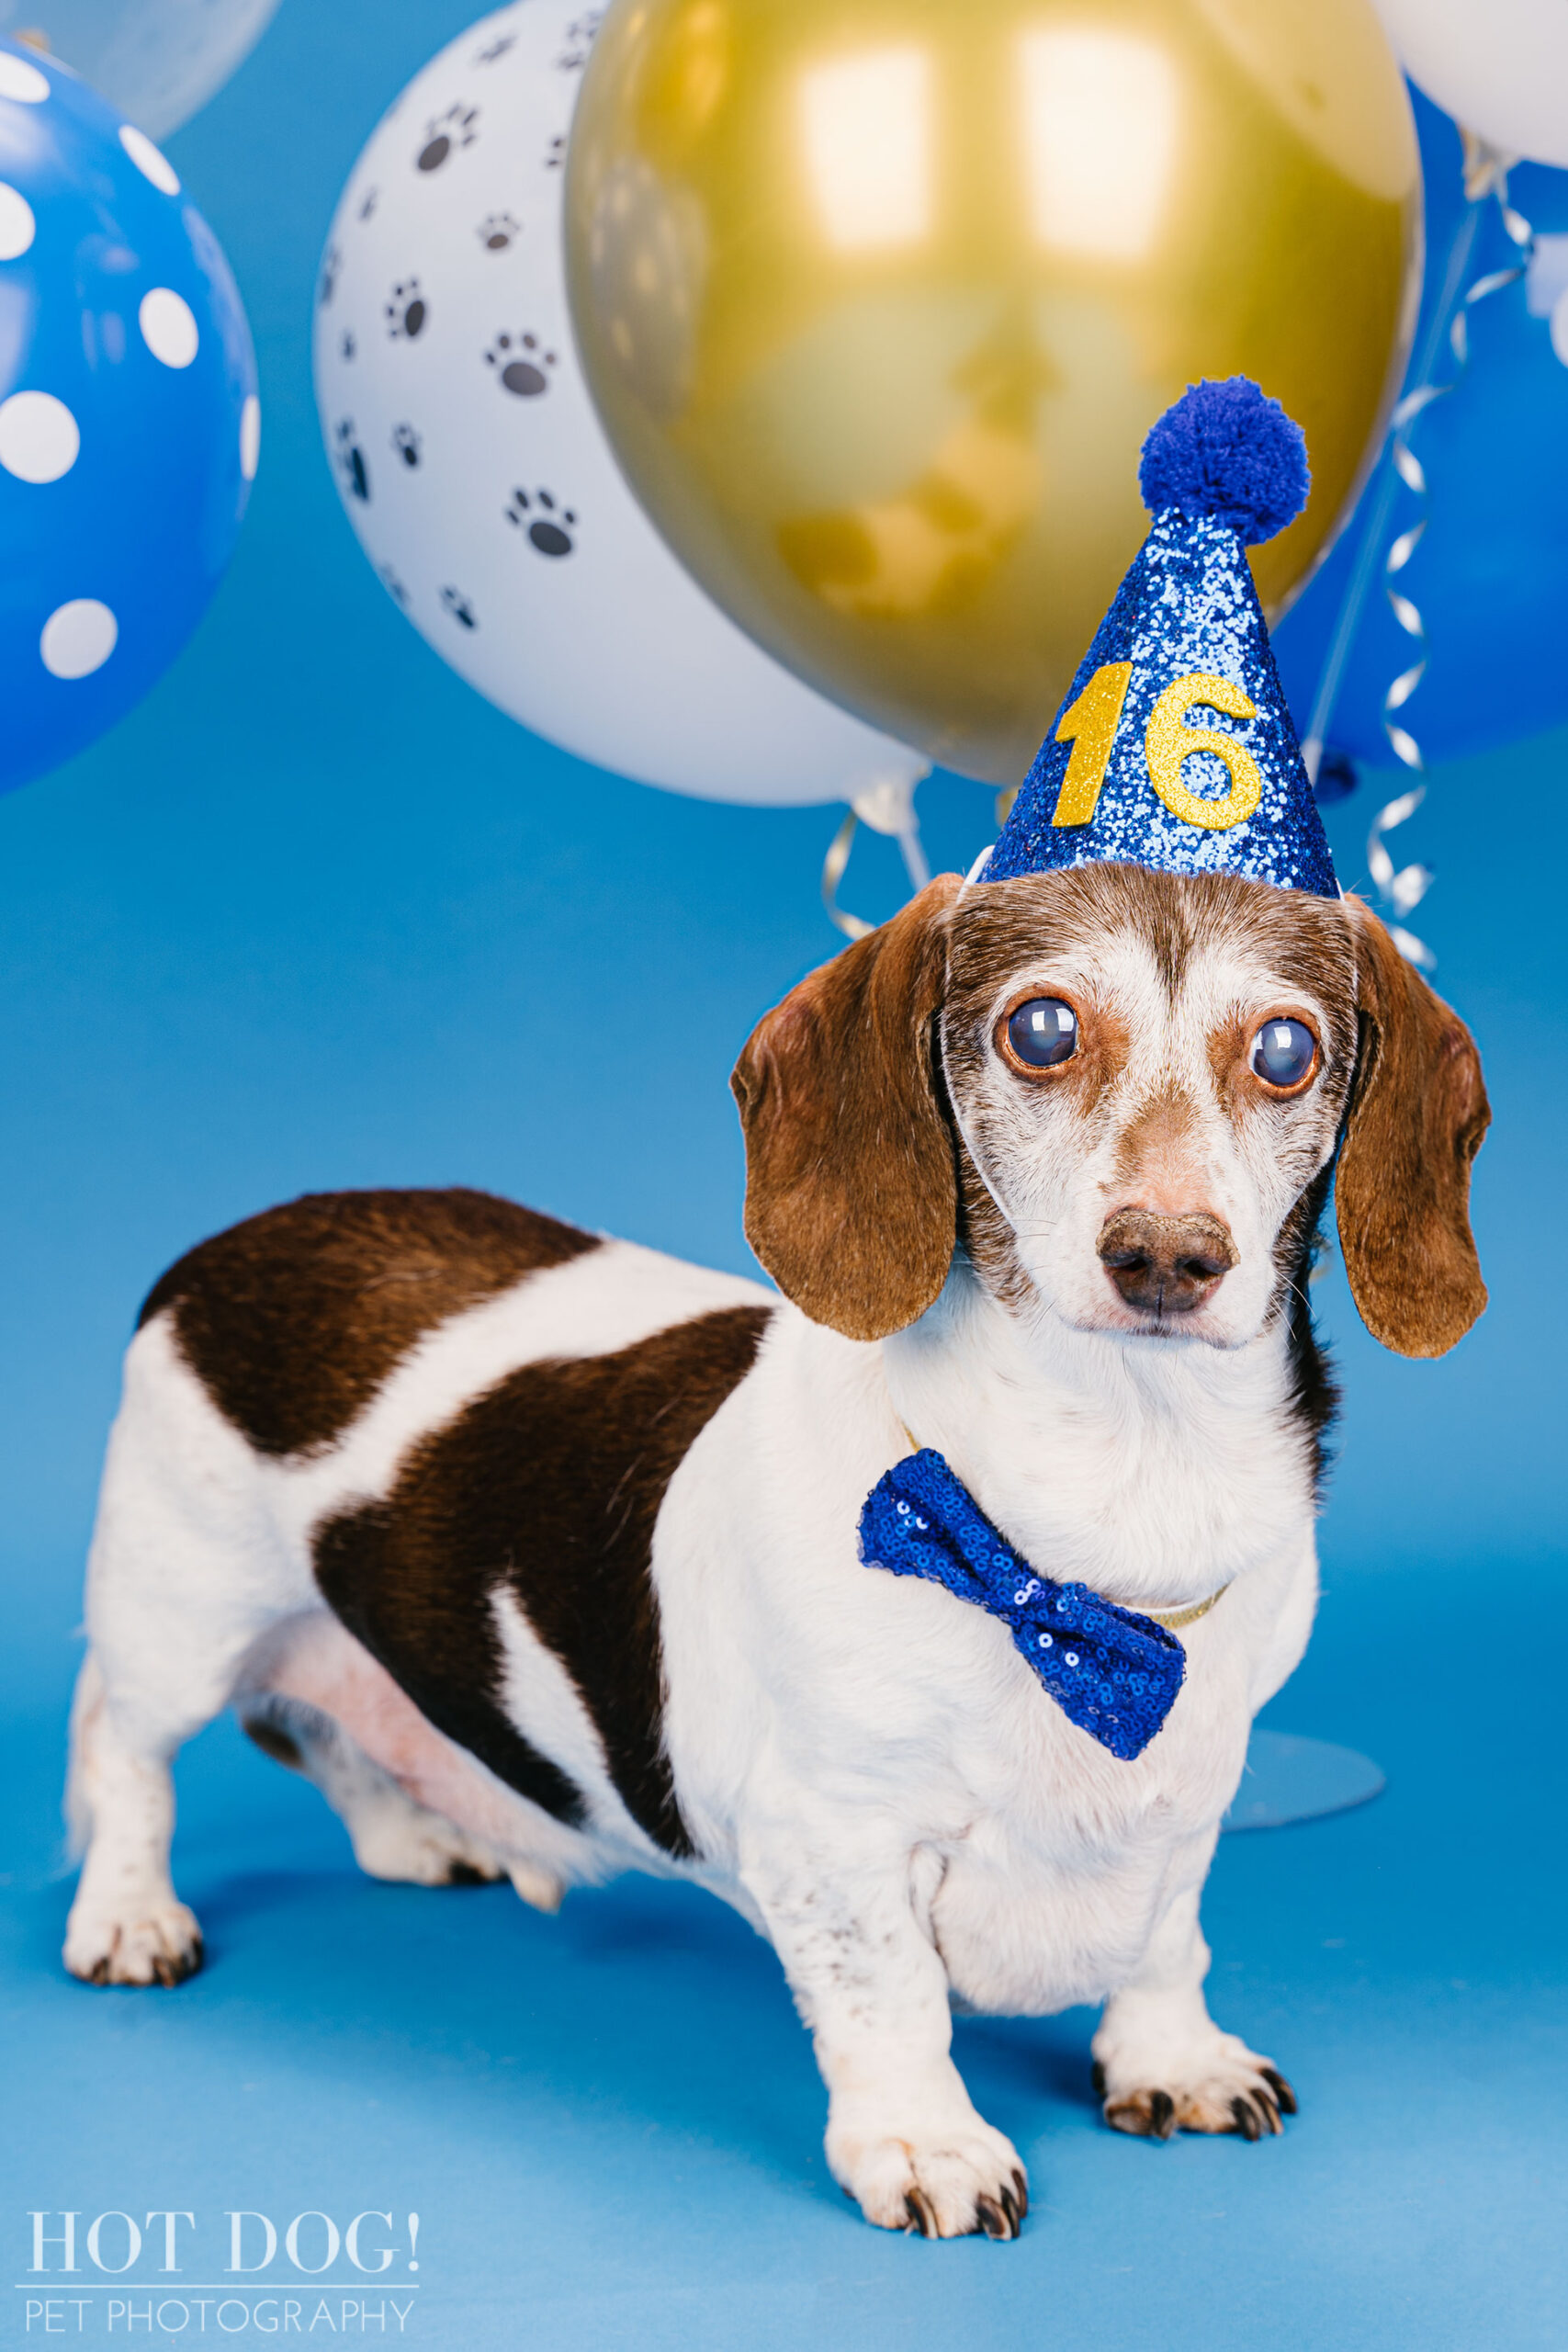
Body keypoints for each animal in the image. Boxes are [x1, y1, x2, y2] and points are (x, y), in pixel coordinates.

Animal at [64, 865, 1485, 2239]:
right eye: (1040, 1030)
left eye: (1287, 1050)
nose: (1167, 1257)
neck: (1094, 1534)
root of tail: (229, 1243)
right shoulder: (832, 1836)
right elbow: (892, 1998)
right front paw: (925, 2142)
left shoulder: (1190, 1789)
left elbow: (1164, 1938)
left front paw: (1171, 2059)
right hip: (179, 1615)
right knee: (127, 1744)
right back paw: (129, 1911)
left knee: (316, 1718)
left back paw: (409, 1829)